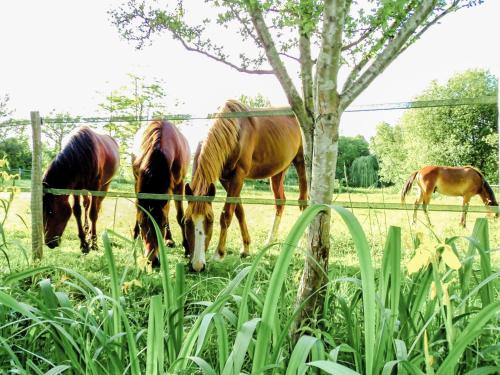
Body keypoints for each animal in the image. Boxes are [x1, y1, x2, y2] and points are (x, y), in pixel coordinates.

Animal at [132, 121, 190, 268]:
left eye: (162, 225)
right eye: (142, 225)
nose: (152, 261)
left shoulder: (179, 184)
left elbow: (180, 216)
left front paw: (187, 247)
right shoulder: (137, 180)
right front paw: (136, 233)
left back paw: (169, 239)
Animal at [184, 98, 308, 272]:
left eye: (210, 220)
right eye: (186, 221)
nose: (197, 265)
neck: (234, 131)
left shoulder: (238, 176)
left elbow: (226, 214)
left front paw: (219, 254)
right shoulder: (225, 179)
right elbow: (239, 211)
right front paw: (246, 248)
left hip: (301, 163)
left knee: (303, 201)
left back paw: (303, 242)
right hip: (278, 171)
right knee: (280, 202)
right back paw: (270, 240)